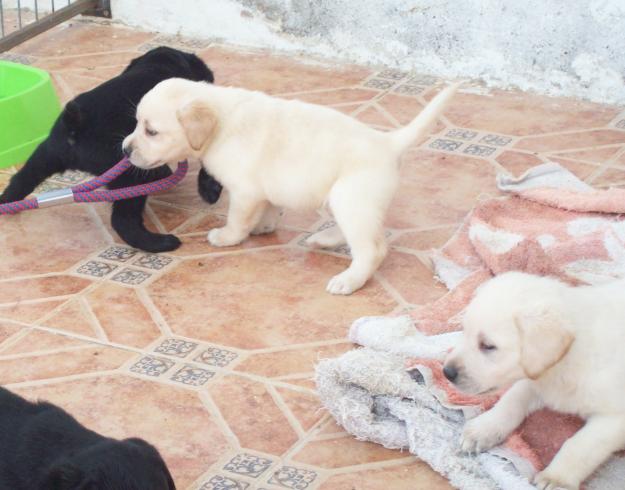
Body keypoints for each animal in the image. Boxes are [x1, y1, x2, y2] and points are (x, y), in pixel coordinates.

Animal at [124, 79, 458, 294]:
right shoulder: (263, 188)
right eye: (136, 123)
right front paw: (264, 226)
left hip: (351, 198)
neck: (222, 121)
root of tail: (389, 143)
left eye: (151, 131)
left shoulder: (244, 191)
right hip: (344, 200)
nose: (125, 150)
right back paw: (322, 240)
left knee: (372, 248)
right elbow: (271, 206)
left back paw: (348, 281)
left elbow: (237, 219)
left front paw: (227, 237)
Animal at [442, 272, 624, 490]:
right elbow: (510, 401)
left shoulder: (615, 417)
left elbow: (580, 445)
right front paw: (483, 429)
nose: (447, 372)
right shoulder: (534, 380)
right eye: (464, 331)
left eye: (487, 346)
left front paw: (556, 478)